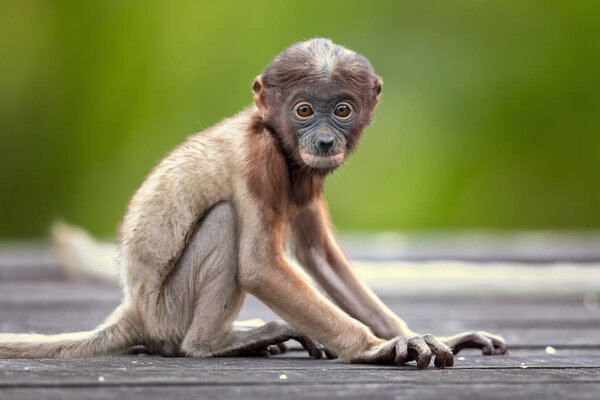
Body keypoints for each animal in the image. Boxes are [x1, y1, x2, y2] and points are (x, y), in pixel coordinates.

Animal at [0, 39, 506, 368]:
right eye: (304, 110)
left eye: (342, 110)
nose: (325, 141)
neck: (276, 138)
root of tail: (134, 308)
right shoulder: (257, 159)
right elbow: (261, 266)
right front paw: (375, 348)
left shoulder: (307, 177)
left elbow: (319, 257)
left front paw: (427, 336)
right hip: (169, 310)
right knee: (224, 222)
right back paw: (217, 343)